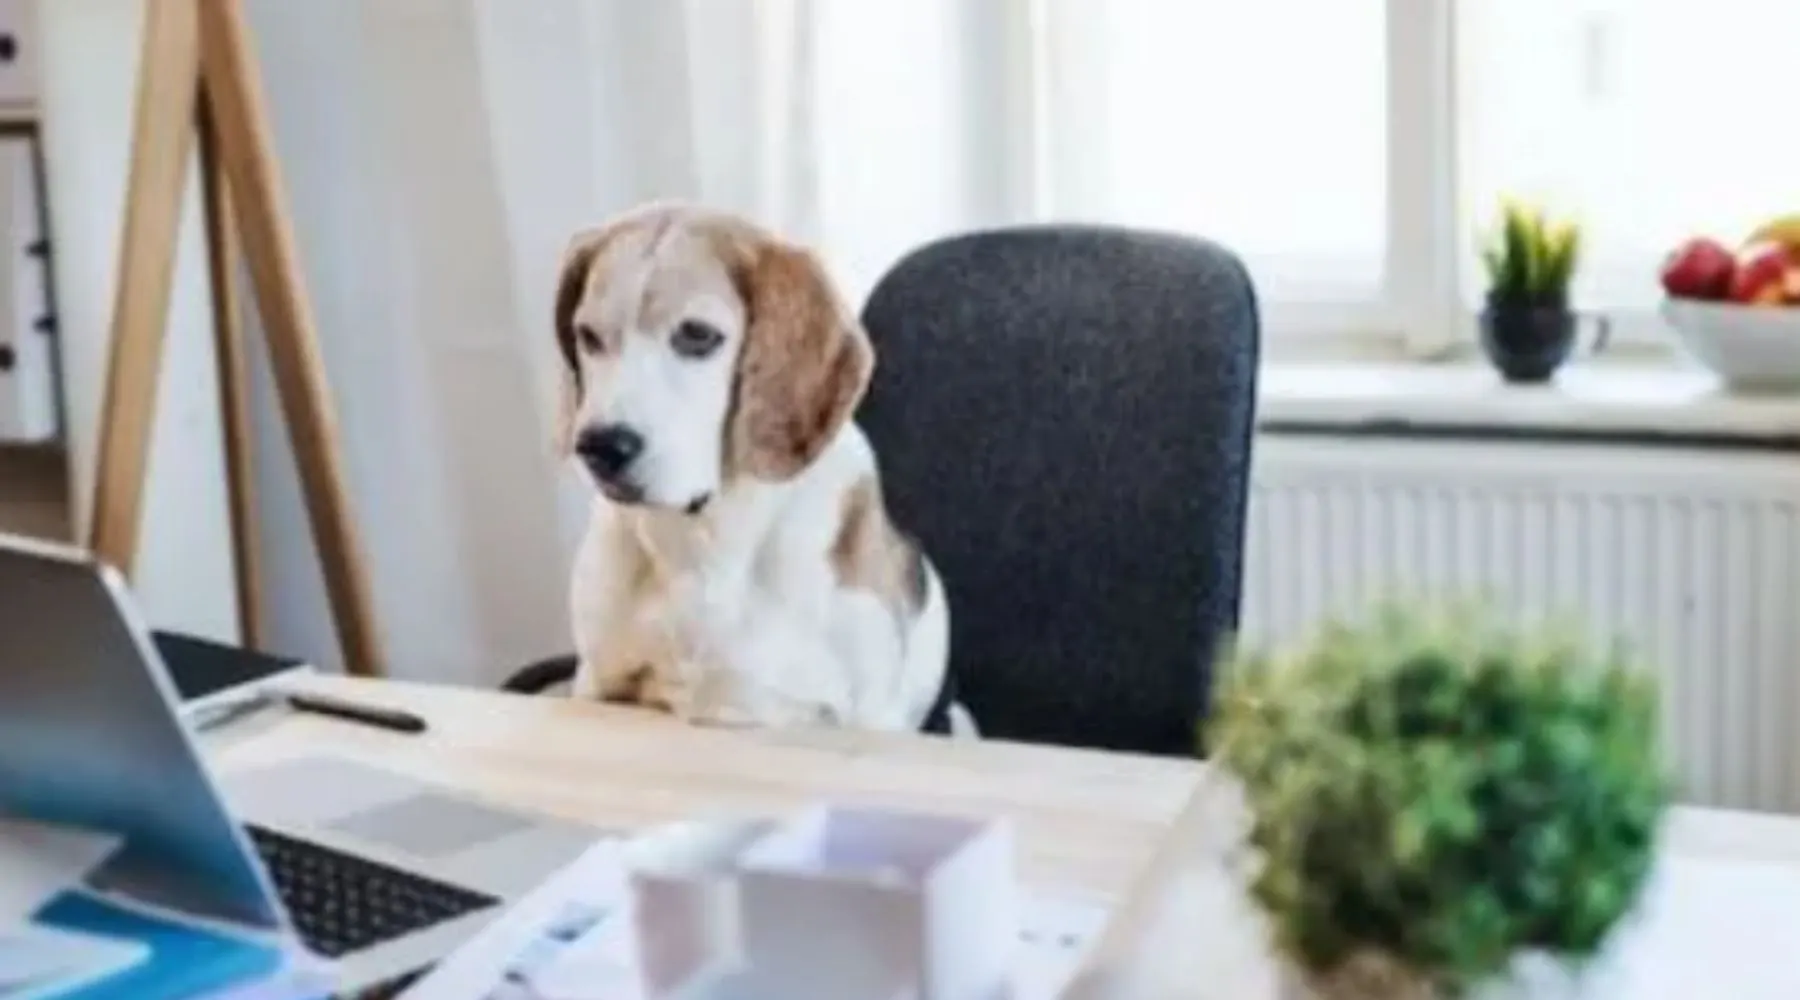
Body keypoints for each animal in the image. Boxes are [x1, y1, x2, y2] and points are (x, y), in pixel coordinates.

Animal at [554, 203, 972, 733]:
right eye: (587, 337)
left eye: (697, 335)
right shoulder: (596, 687)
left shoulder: (866, 719)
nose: (599, 446)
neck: (704, 541)